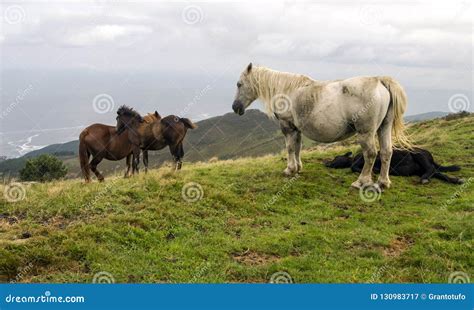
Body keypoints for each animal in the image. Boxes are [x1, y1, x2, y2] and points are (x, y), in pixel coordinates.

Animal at [232, 63, 412, 189]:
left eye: (239, 84)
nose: (235, 108)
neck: (287, 90)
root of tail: (379, 80)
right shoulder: (297, 129)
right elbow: (297, 148)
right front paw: (298, 168)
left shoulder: (287, 126)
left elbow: (290, 148)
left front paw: (290, 169)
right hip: (384, 128)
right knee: (386, 152)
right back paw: (383, 182)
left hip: (365, 133)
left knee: (371, 154)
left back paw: (360, 182)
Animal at [324, 148, 464, 184]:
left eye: (336, 157)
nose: (326, 163)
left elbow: (354, 167)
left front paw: (374, 170)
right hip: (420, 168)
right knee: (437, 172)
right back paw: (457, 180)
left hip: (418, 154)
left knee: (432, 169)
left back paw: (424, 179)